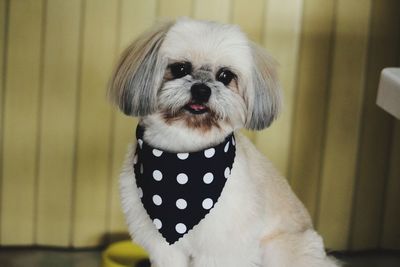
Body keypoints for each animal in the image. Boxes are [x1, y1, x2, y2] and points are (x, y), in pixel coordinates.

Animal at [108, 17, 340, 266]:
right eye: (180, 68)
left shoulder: (221, 247)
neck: (183, 159)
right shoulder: (164, 248)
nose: (201, 89)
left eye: (225, 76)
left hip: (279, 249)